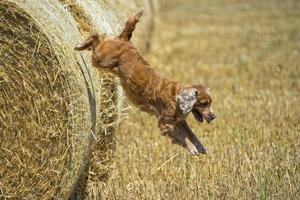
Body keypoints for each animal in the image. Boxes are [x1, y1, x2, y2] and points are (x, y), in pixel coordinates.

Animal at [75, 10, 216, 155]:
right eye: (204, 103)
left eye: (210, 102)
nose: (213, 116)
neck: (176, 96)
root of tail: (124, 39)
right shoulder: (165, 124)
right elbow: (183, 137)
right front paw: (192, 149)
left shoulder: (180, 122)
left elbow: (192, 134)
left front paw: (201, 147)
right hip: (101, 59)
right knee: (95, 38)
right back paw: (80, 45)